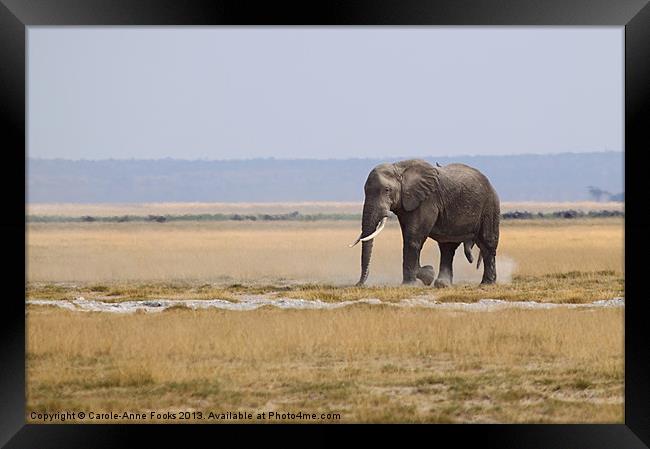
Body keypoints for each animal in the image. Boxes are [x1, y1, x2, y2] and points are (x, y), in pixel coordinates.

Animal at [350, 160, 496, 288]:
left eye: (387, 190)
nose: (358, 284)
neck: (399, 169)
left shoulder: (428, 200)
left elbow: (413, 238)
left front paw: (409, 284)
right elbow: (408, 236)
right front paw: (427, 274)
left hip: (489, 205)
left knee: (487, 244)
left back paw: (486, 284)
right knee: (447, 247)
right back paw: (442, 284)